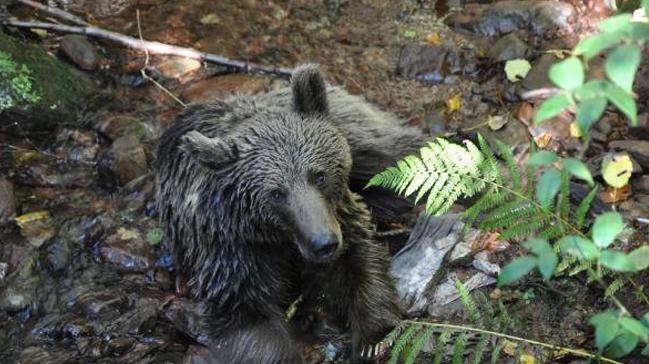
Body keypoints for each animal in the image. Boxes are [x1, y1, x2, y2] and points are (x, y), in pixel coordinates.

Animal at [154, 64, 422, 362]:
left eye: (319, 175)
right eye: (276, 194)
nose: (324, 243)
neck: (277, 237)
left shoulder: (339, 217)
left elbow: (361, 262)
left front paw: (374, 338)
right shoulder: (232, 251)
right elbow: (245, 317)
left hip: (358, 134)